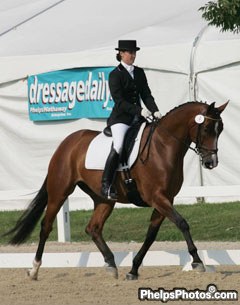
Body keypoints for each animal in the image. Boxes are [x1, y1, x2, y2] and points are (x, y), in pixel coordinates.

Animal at [4, 100, 228, 280]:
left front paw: (133, 270)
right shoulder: (157, 197)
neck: (163, 146)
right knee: (46, 226)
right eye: (207, 128)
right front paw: (197, 261)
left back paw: (111, 264)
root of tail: (66, 143)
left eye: (221, 129)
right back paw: (34, 270)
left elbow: (151, 235)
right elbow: (182, 223)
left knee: (93, 228)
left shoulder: (165, 199)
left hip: (104, 199)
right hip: (59, 192)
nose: (211, 162)